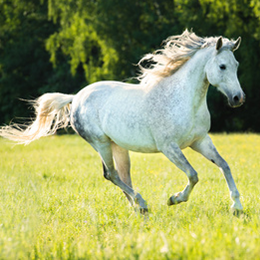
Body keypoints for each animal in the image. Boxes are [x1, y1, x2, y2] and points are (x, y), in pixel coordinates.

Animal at [0, 29, 245, 215]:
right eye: (222, 66)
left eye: (236, 65)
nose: (238, 98)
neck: (183, 99)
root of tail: (76, 97)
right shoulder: (169, 147)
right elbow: (193, 175)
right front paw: (174, 198)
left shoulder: (200, 141)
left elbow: (224, 165)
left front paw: (237, 207)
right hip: (100, 143)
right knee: (111, 174)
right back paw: (142, 203)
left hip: (118, 146)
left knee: (122, 175)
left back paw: (137, 207)